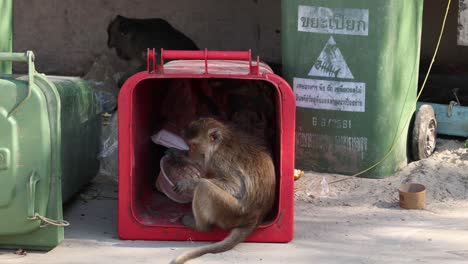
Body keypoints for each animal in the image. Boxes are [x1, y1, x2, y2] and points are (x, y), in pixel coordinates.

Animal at [169, 118, 276, 264]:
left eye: (194, 145)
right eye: (188, 145)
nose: (190, 152)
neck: (221, 144)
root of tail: (255, 217)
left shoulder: (219, 159)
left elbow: (235, 186)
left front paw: (188, 182)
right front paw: (178, 155)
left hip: (231, 212)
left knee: (204, 186)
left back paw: (199, 226)